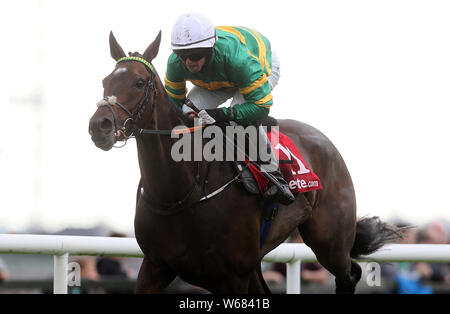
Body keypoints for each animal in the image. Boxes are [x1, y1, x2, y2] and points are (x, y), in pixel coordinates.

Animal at [89, 30, 400, 294]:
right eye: (105, 81)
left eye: (139, 83)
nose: (99, 126)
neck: (182, 191)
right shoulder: (156, 266)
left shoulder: (232, 275)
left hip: (329, 241)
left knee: (350, 274)